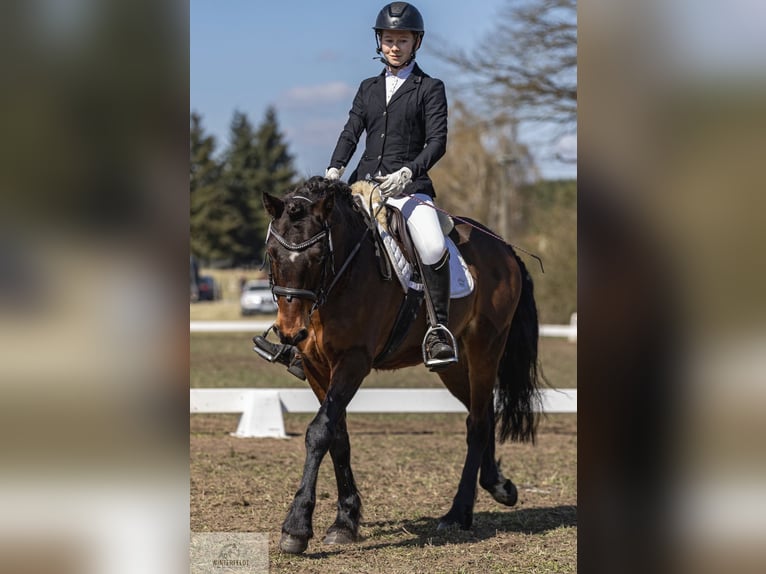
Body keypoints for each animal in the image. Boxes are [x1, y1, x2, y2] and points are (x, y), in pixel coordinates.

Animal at [260, 176, 542, 554]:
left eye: (318, 256)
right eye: (273, 254)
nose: (291, 332)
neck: (343, 276)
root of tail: (504, 248)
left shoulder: (354, 361)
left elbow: (319, 432)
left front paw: (296, 527)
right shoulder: (317, 366)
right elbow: (338, 436)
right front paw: (345, 521)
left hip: (486, 347)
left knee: (479, 423)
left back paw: (458, 514)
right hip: (454, 366)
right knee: (480, 413)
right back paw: (499, 487)